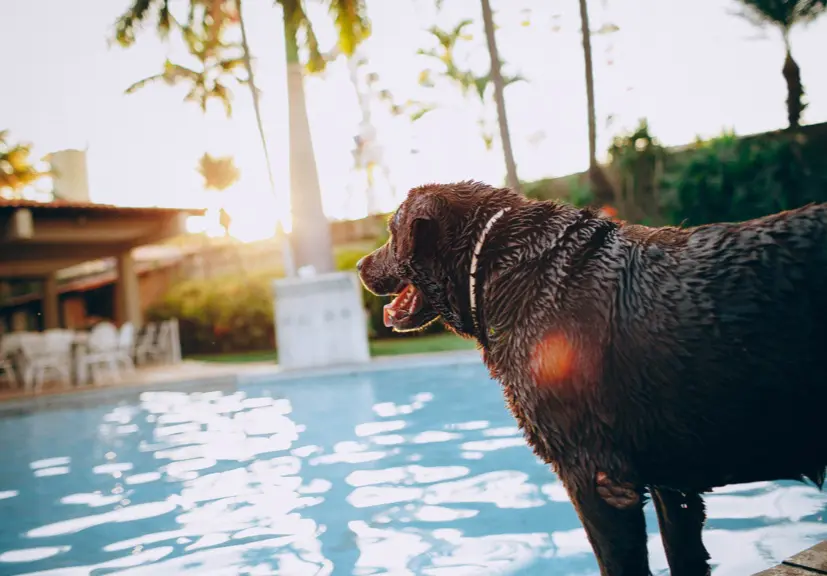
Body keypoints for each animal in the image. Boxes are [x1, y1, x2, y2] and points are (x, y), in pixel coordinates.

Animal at [360, 181, 827, 576]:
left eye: (391, 232)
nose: (361, 265)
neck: (502, 269)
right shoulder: (672, 485)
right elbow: (683, 554)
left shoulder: (596, 479)